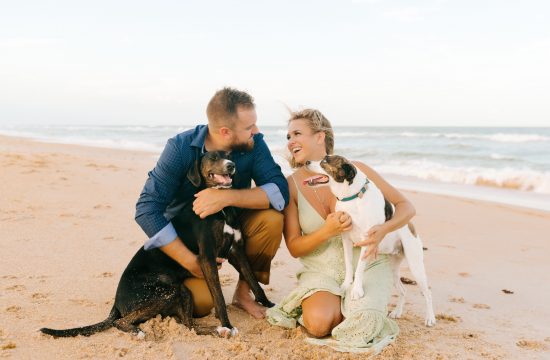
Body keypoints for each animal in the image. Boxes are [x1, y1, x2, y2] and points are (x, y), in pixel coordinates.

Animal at [41, 150, 276, 338]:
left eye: (229, 155)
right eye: (213, 157)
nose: (231, 165)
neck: (221, 208)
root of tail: (116, 302)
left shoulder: (237, 250)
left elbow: (253, 280)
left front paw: (270, 306)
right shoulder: (208, 257)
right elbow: (218, 296)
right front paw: (228, 323)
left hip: (181, 291)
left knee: (189, 325)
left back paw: (216, 330)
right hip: (164, 291)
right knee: (122, 321)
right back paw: (139, 332)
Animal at [306, 155, 436, 326]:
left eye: (325, 161)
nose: (306, 162)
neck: (352, 197)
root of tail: (410, 225)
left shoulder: (367, 241)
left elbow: (359, 268)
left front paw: (356, 290)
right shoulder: (346, 239)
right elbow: (349, 264)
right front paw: (347, 284)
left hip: (416, 266)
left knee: (428, 293)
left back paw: (430, 318)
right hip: (394, 269)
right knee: (403, 290)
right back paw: (397, 312)